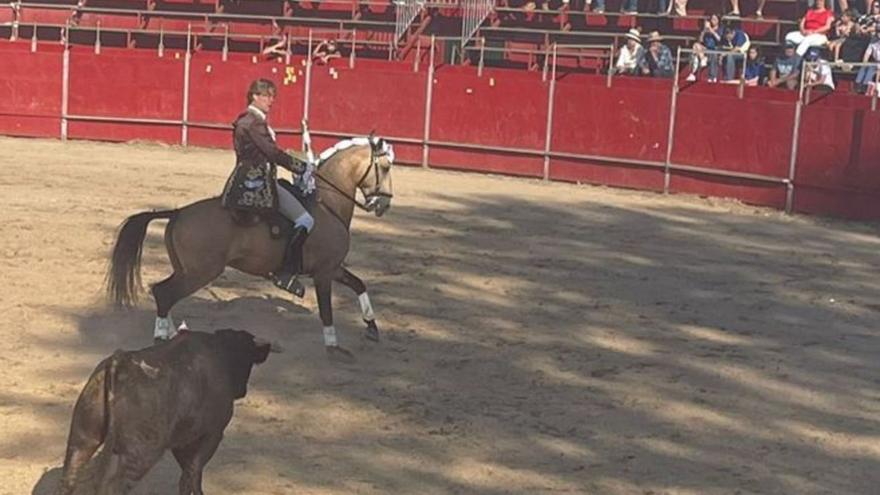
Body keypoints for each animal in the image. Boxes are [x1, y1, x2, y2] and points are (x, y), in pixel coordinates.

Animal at [105, 138, 394, 358]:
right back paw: (162, 339)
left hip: (185, 270)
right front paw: (334, 346)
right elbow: (327, 310)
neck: (328, 205)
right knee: (165, 294)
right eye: (386, 167)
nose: (384, 204)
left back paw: (173, 335)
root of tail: (178, 212)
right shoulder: (324, 273)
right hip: (201, 272)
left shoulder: (334, 268)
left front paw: (372, 328)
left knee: (163, 293)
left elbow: (359, 284)